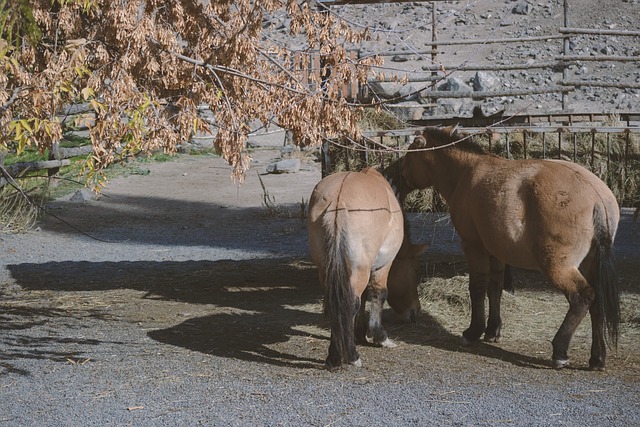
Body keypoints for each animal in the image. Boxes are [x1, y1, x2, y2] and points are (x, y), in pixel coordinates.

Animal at [308, 167, 424, 372]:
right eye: (415, 271)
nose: (415, 311)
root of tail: (339, 200)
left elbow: (362, 300)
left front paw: (359, 333)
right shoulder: (383, 266)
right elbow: (378, 294)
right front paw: (380, 337)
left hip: (329, 269)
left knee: (337, 303)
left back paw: (334, 357)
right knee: (350, 303)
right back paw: (350, 356)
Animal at [400, 124, 620, 372]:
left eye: (410, 154)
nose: (401, 175)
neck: (467, 173)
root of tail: (597, 197)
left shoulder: (473, 246)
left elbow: (477, 287)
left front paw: (474, 331)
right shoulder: (496, 250)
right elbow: (495, 287)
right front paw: (493, 329)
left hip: (559, 266)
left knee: (582, 297)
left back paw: (560, 350)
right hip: (590, 263)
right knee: (596, 302)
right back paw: (597, 358)